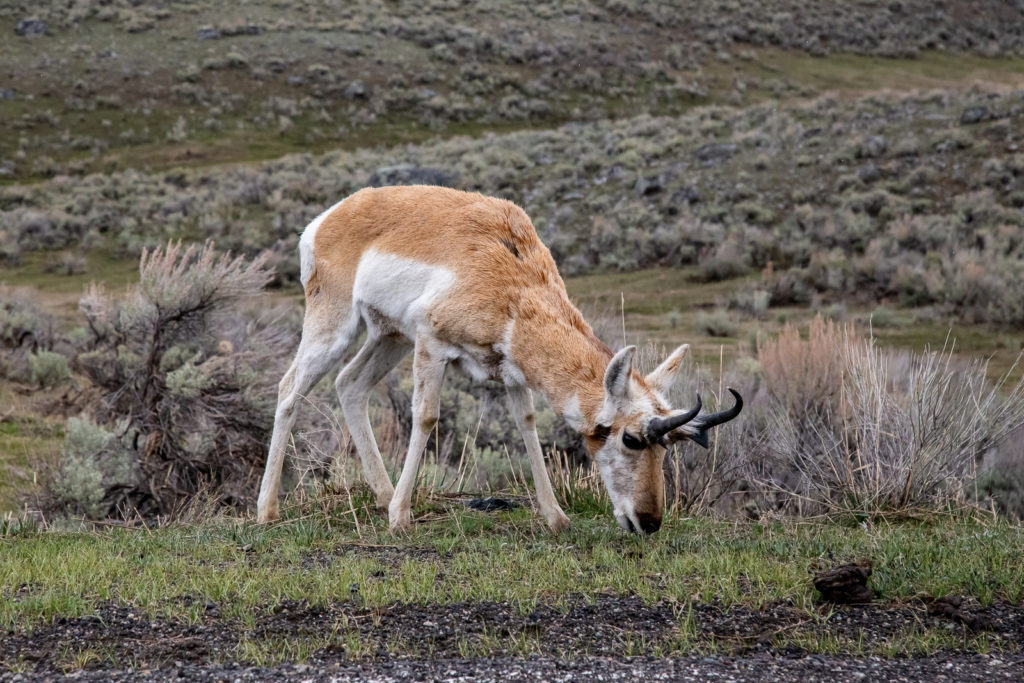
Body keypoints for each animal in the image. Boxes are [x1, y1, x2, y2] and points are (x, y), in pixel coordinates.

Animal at [254, 185, 737, 532]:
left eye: (667, 449)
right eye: (631, 439)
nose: (650, 522)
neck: (516, 282)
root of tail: (329, 217)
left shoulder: (512, 373)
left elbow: (527, 425)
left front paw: (556, 517)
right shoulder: (432, 343)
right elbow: (426, 416)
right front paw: (402, 519)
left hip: (389, 336)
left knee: (349, 386)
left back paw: (382, 495)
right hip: (336, 327)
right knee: (289, 389)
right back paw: (268, 511)